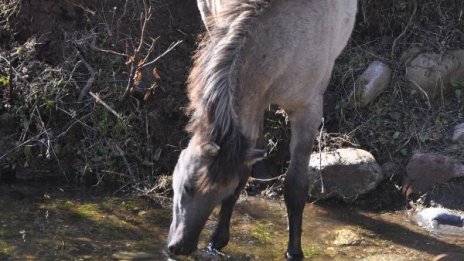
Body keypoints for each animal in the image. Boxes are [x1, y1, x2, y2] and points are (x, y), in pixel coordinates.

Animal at [169, 0, 358, 256]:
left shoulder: (308, 111)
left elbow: (295, 186)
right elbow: (241, 174)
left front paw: (294, 251)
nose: (180, 247)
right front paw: (217, 240)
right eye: (187, 187)